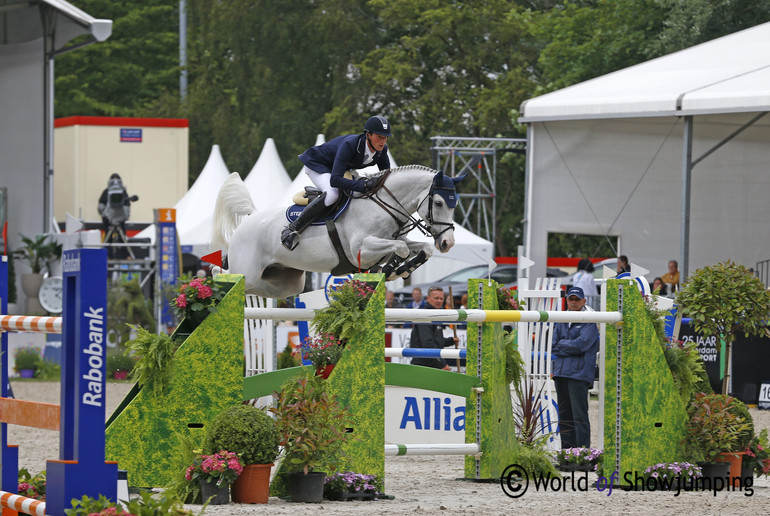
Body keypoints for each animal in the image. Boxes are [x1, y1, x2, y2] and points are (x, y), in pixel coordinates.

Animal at [210, 163, 462, 296]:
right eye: (439, 203)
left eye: (455, 204)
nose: (448, 243)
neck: (383, 206)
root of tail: (249, 219)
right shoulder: (362, 249)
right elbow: (400, 248)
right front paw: (391, 269)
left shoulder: (392, 240)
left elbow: (422, 248)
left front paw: (403, 268)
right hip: (248, 270)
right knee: (219, 273)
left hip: (284, 283)